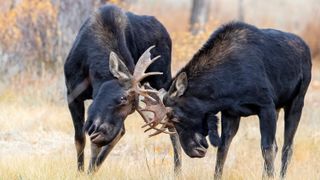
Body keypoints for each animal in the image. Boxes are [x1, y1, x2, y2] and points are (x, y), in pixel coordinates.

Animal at [63, 4, 181, 173]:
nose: (102, 132)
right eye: (122, 98)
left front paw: (89, 171)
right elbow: (80, 139)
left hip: (163, 78)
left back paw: (178, 169)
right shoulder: (72, 94)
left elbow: (103, 142)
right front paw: (81, 171)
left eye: (131, 109)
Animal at [141, 21, 312, 179]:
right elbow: (223, 149)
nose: (194, 151)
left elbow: (267, 148)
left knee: (286, 147)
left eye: (176, 117)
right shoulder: (230, 112)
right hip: (278, 108)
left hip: (296, 102)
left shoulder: (266, 106)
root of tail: (307, 50)